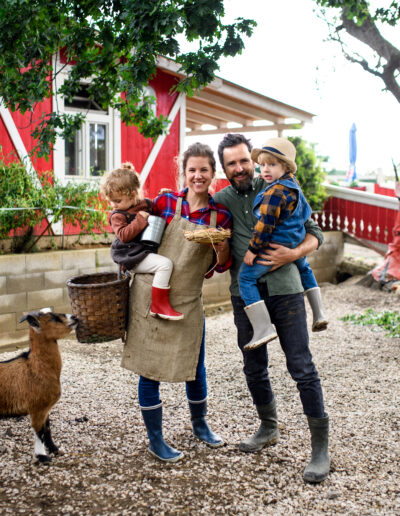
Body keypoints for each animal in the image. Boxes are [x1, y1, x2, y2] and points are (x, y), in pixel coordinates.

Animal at [0, 308, 77, 462]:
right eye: (53, 318)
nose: (75, 317)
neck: (34, 367)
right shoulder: (37, 407)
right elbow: (39, 430)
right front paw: (42, 456)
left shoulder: (45, 407)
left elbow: (47, 428)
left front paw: (54, 449)